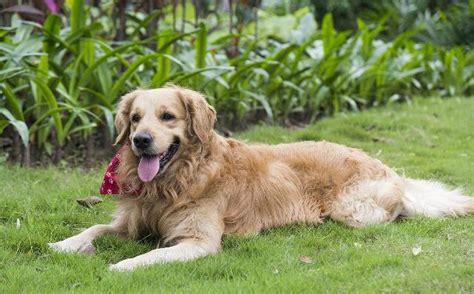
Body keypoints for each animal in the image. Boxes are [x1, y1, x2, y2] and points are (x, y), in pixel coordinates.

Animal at [49, 85, 474, 272]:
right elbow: (95, 228)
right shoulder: (132, 222)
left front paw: (119, 267)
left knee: (396, 211)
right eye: (135, 118)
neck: (172, 182)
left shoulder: (198, 241)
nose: (140, 141)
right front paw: (63, 244)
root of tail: (384, 165)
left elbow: (149, 255)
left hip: (352, 210)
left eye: (167, 117)